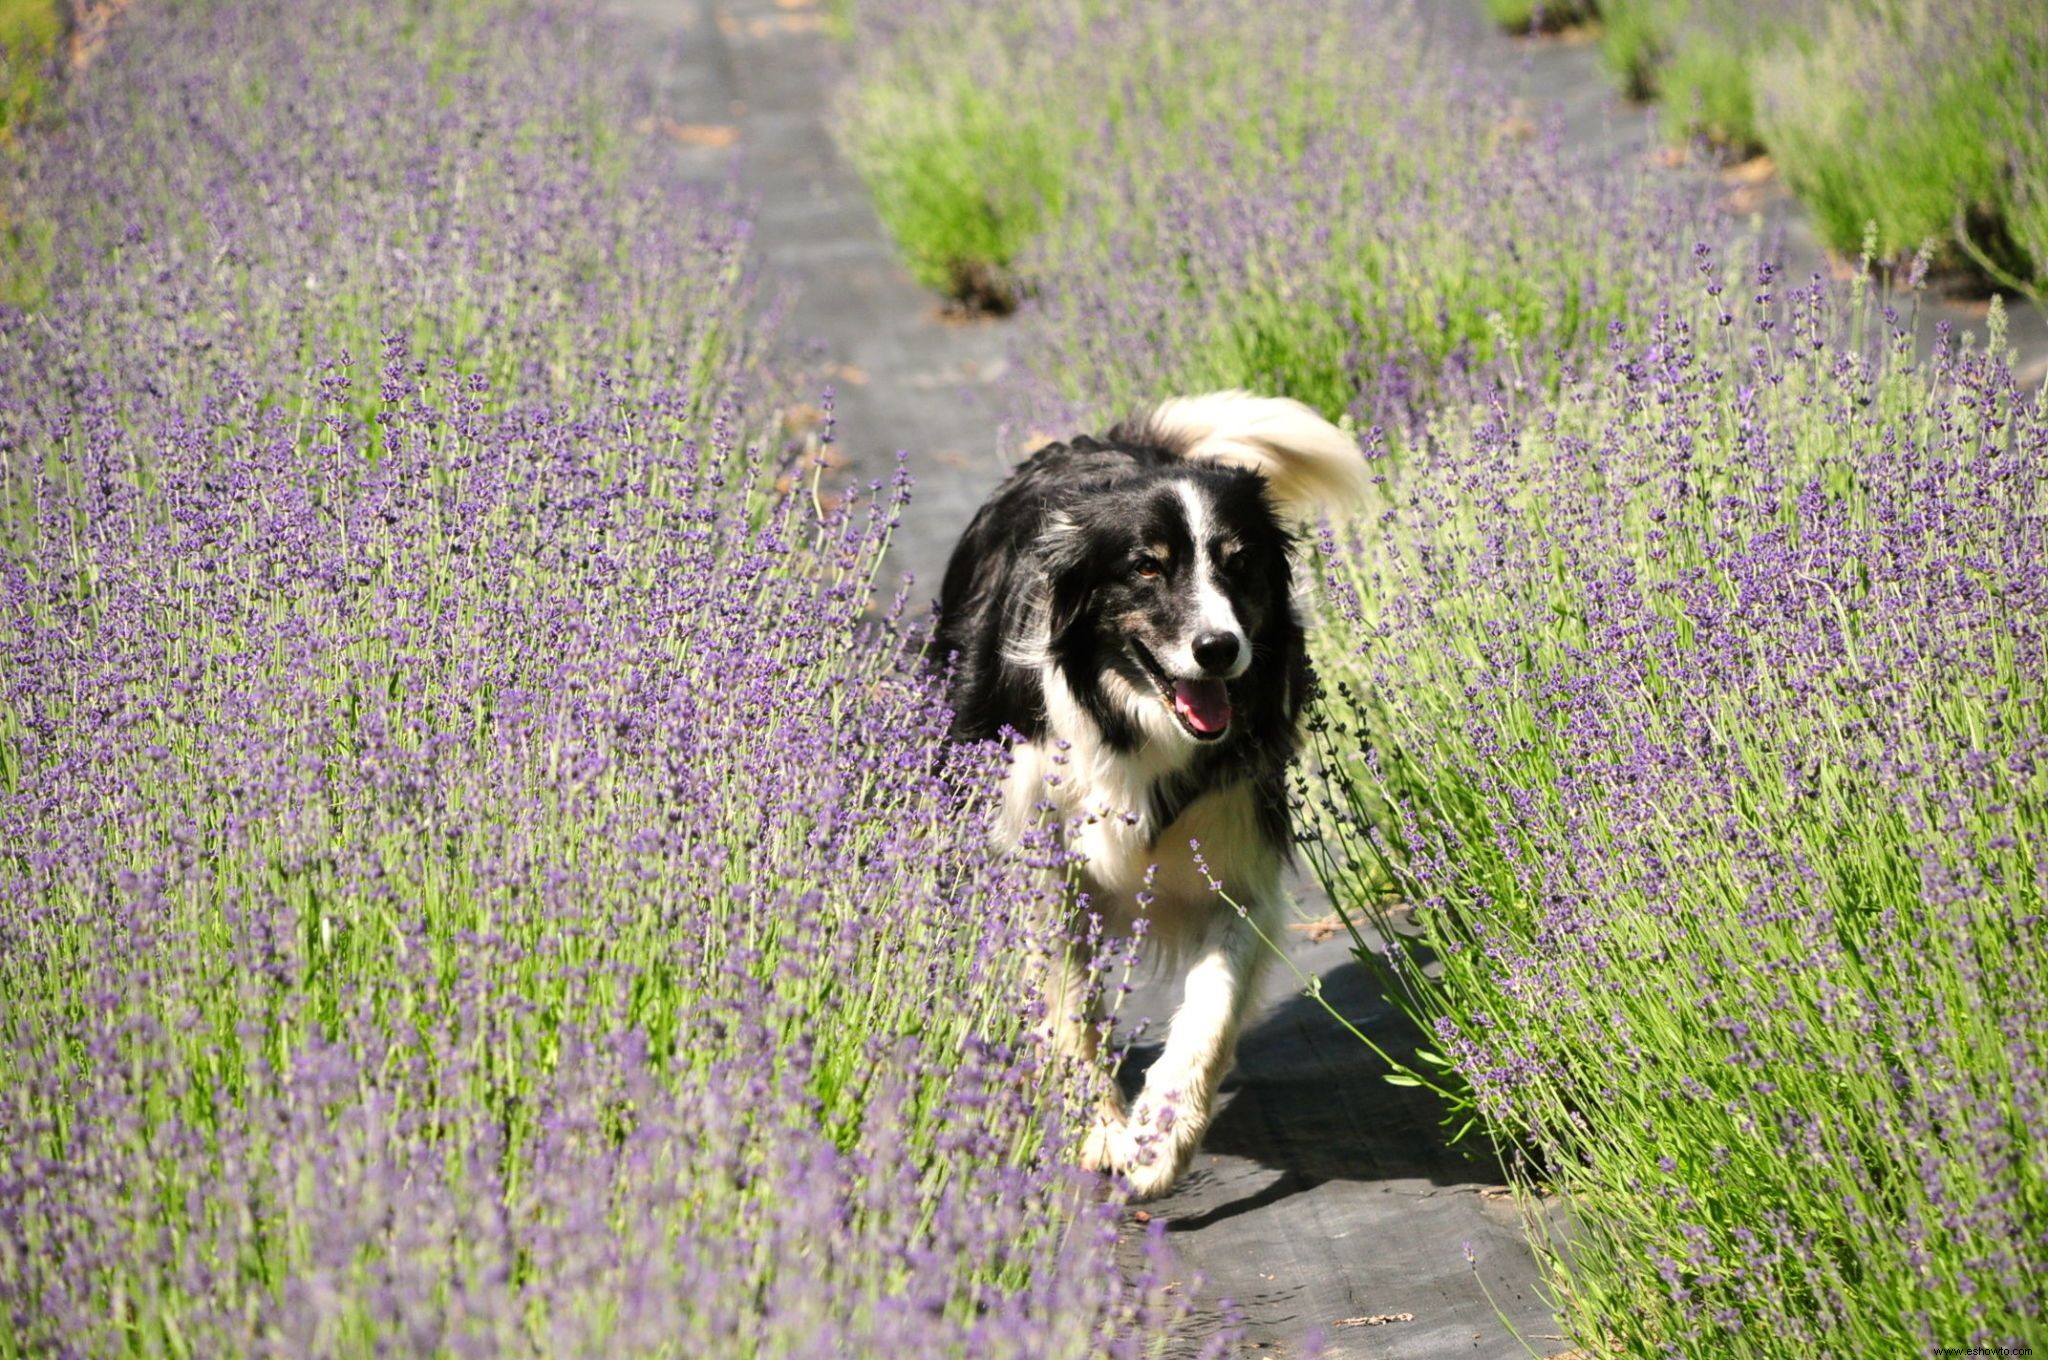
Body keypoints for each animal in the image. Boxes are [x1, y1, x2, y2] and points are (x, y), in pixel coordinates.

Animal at [937, 387, 1368, 1196]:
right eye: (1145, 569)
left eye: (1239, 564)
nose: (1219, 649)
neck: (1131, 718)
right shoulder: (1042, 863)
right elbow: (1068, 1011)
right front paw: (1101, 1129)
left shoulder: (1236, 860)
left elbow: (1211, 1010)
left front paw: (1161, 1138)